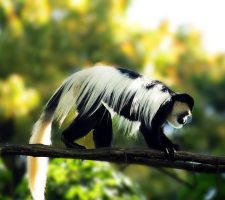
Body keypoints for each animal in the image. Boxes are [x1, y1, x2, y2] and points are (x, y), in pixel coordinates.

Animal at [27, 66, 193, 199]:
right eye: (185, 113)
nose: (185, 120)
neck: (171, 99)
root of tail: (80, 75)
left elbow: (159, 130)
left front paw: (172, 146)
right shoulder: (159, 106)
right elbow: (149, 127)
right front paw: (160, 148)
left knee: (102, 115)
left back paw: (105, 149)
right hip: (90, 91)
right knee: (95, 115)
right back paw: (68, 140)